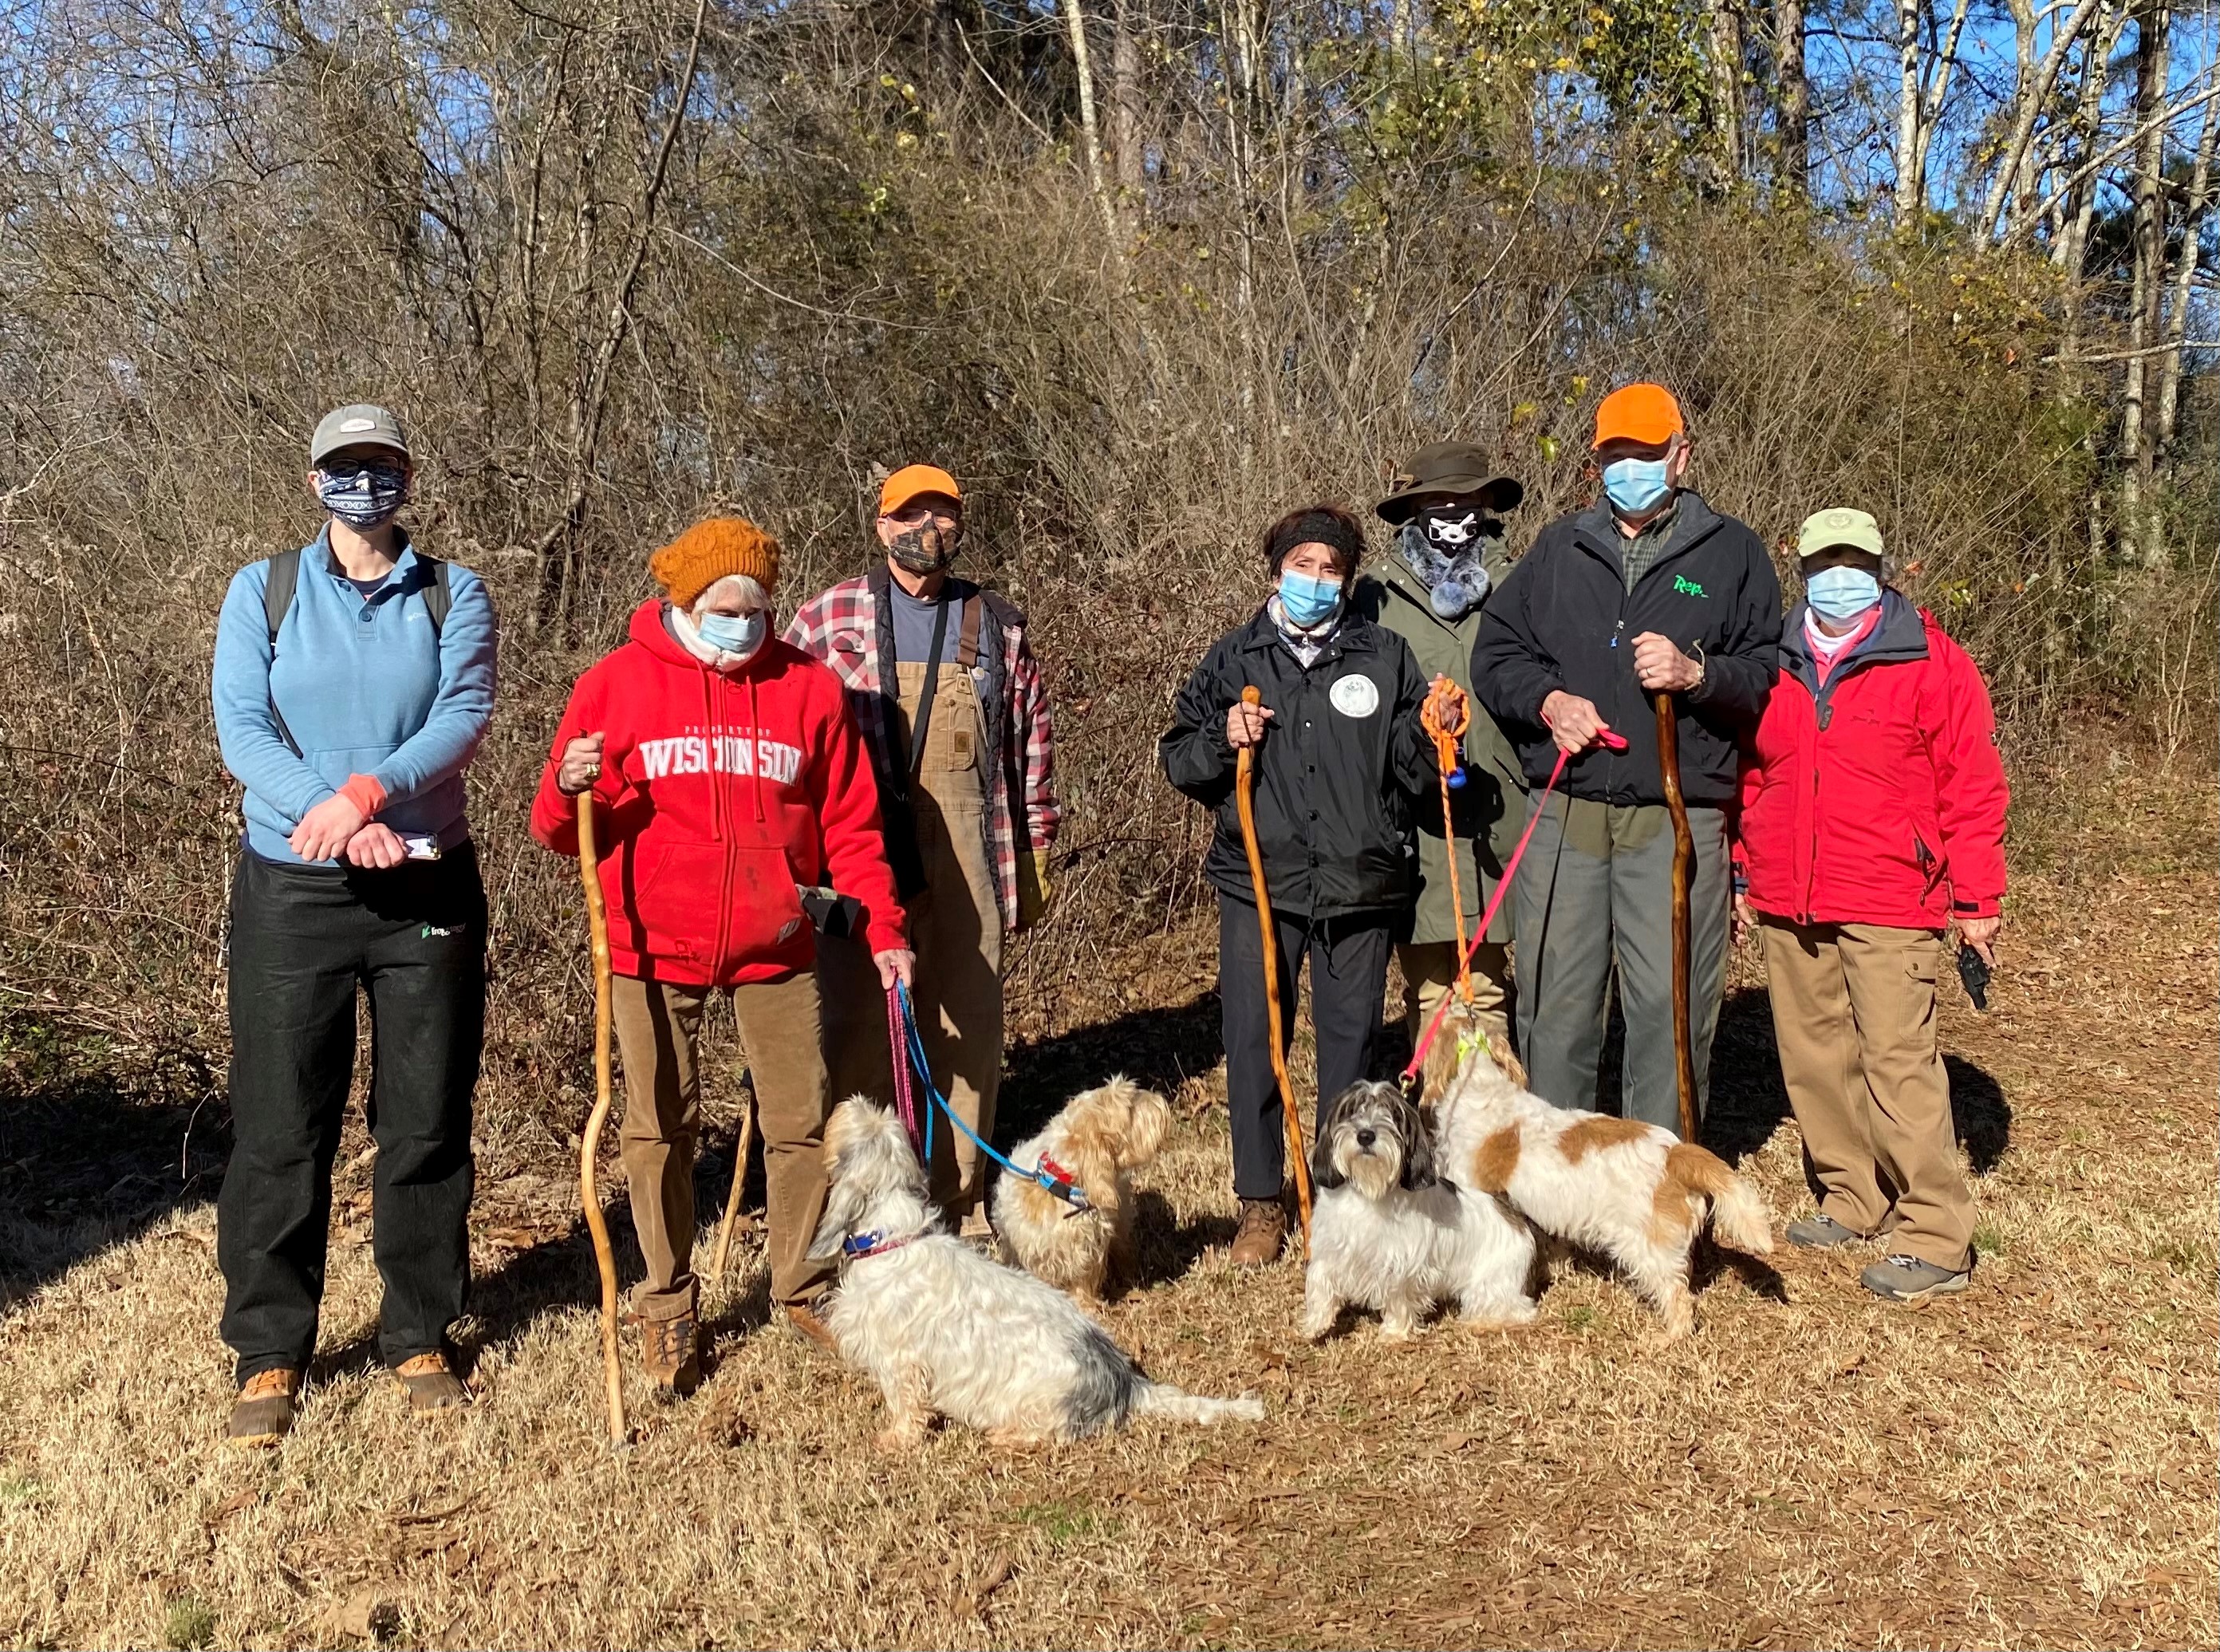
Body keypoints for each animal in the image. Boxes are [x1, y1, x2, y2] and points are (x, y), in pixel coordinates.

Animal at [992, 1075, 1171, 1305]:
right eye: (1130, 1108)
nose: (1161, 1099)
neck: (1064, 1187)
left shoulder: (1088, 1251)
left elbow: (1083, 1282)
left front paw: (1086, 1306)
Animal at [1302, 1081, 1537, 1341]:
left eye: (1393, 1115)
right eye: (1351, 1111)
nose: (1365, 1135)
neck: (1367, 1192)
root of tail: (1510, 1214)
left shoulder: (1401, 1264)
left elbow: (1398, 1298)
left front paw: (1393, 1332)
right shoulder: (1331, 1247)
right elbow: (1320, 1280)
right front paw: (1316, 1323)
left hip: (1492, 1283)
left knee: (1520, 1310)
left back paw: (1482, 1322)